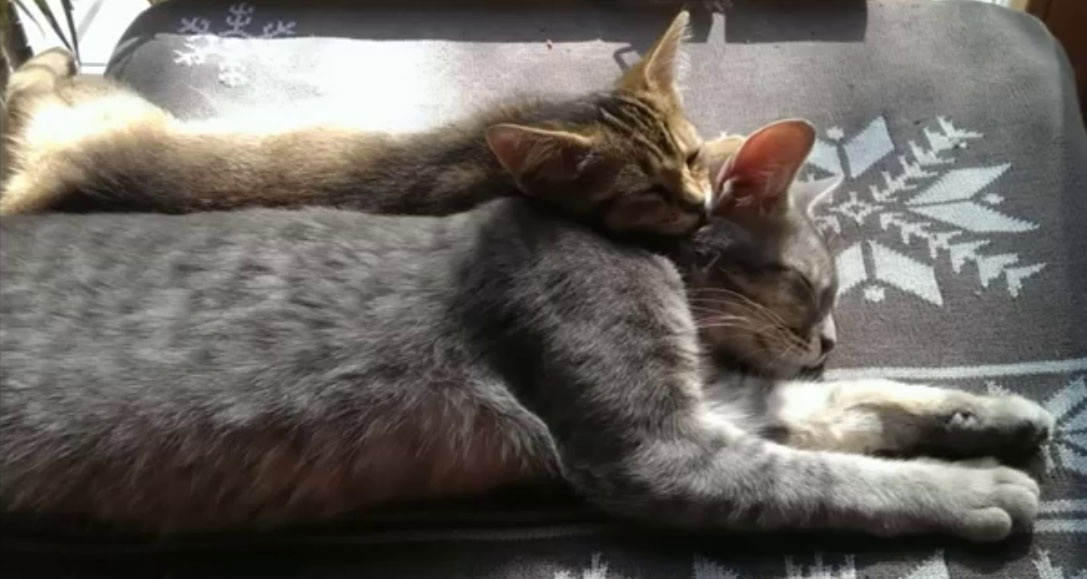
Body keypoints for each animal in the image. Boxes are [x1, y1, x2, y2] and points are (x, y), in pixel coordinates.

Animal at [0, 118, 1053, 541]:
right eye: (811, 286)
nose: (831, 339)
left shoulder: (719, 401)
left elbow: (860, 407)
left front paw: (1000, 413)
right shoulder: (660, 444)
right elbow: (835, 473)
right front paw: (975, 488)